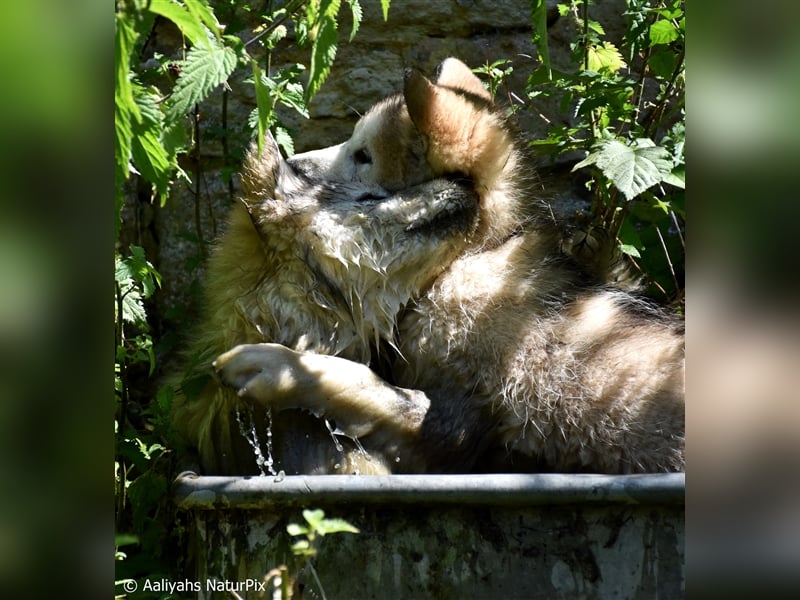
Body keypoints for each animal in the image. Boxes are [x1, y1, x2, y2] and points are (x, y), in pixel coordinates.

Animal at [178, 58, 684, 476]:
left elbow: (363, 383)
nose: (295, 162)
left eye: (363, 155)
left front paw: (276, 366)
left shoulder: (454, 431)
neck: (475, 257)